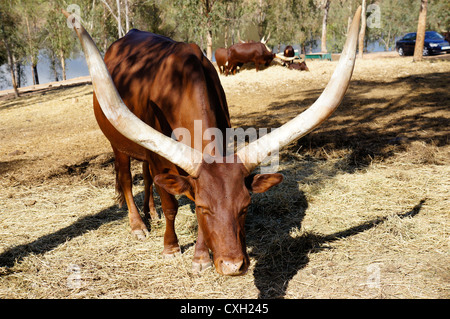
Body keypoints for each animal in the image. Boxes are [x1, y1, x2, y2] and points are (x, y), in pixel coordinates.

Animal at [63, 6, 360, 278]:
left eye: (245, 206)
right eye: (204, 208)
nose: (233, 266)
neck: (180, 86)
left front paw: (200, 258)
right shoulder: (162, 161)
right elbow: (171, 205)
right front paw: (171, 247)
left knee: (146, 177)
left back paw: (151, 213)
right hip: (118, 144)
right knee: (126, 179)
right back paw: (138, 225)